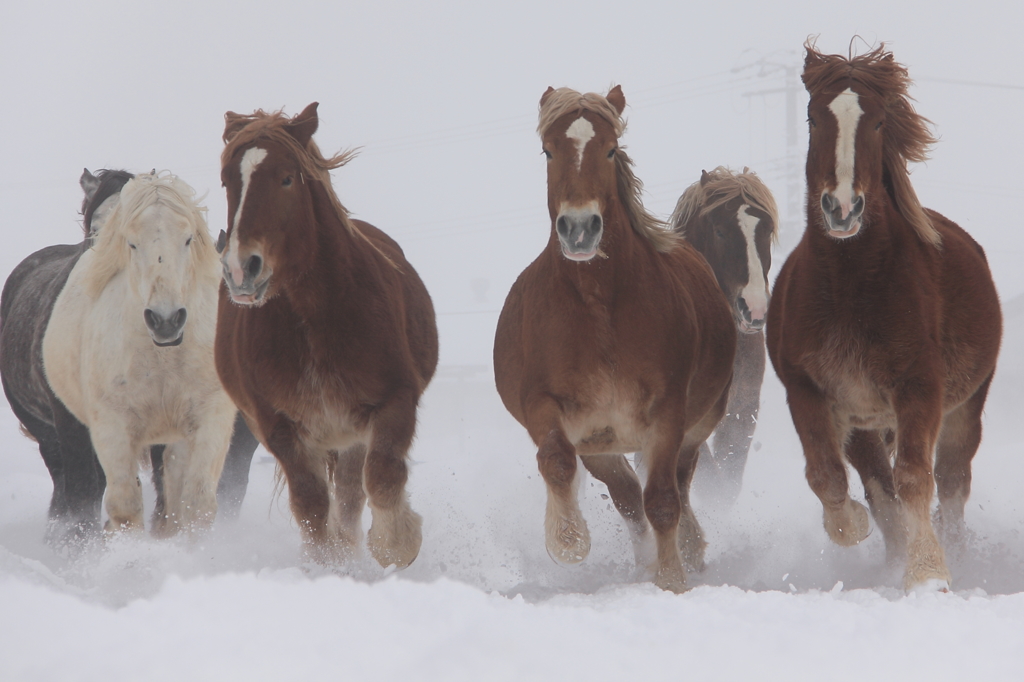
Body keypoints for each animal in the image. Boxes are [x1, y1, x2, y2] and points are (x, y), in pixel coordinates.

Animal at [1, 169, 256, 548]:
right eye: (130, 242)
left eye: (189, 239)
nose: (166, 319)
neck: (161, 357)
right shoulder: (108, 427)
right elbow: (120, 508)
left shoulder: (210, 419)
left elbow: (195, 506)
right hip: (54, 436)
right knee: (73, 493)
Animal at [214, 103, 438, 565]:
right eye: (228, 180)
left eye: (287, 178)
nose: (241, 269)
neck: (315, 319)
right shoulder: (280, 426)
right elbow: (312, 508)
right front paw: (331, 563)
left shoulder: (394, 402)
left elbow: (383, 480)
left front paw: (396, 544)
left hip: (351, 435)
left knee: (354, 492)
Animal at [667, 166, 778, 501]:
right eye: (719, 231)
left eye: (767, 229)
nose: (754, 308)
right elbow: (711, 480)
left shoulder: (742, 409)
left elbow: (728, 483)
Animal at [770, 42, 999, 589]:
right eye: (812, 117)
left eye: (877, 122)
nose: (842, 209)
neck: (849, 288)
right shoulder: (810, 392)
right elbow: (831, 478)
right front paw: (854, 529)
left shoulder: (920, 388)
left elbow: (915, 477)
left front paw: (928, 573)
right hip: (866, 423)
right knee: (878, 485)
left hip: (966, 408)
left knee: (953, 483)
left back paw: (954, 548)